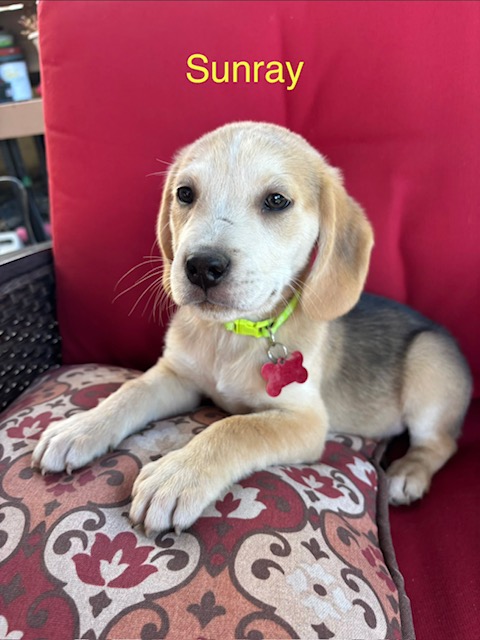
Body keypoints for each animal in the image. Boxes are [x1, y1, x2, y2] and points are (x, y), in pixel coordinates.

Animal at [32, 121, 472, 535]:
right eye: (185, 194)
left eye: (277, 201)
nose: (201, 266)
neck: (230, 334)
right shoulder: (176, 376)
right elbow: (130, 392)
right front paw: (81, 428)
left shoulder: (305, 421)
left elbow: (236, 428)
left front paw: (179, 475)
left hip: (428, 362)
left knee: (440, 442)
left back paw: (406, 474)